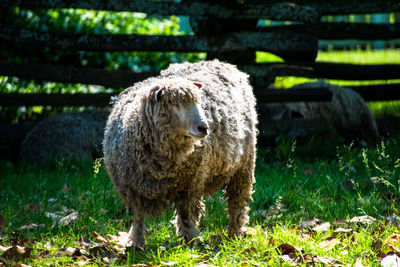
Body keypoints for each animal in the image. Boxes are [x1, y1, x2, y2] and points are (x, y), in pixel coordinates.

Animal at [103, 59, 258, 248]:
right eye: (174, 103)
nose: (204, 128)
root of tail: (222, 63)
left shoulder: (189, 184)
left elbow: (184, 212)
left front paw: (191, 239)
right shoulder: (133, 187)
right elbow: (139, 215)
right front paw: (136, 242)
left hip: (244, 165)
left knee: (237, 202)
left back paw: (234, 233)